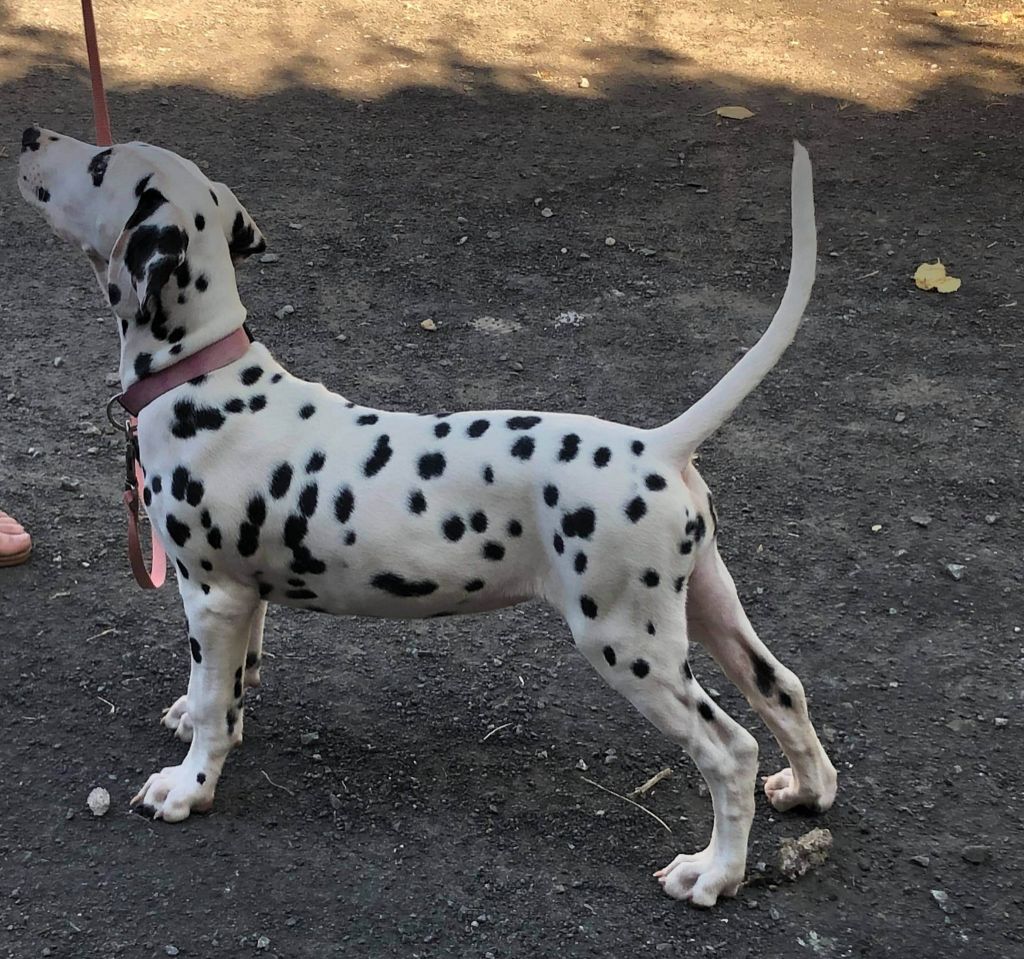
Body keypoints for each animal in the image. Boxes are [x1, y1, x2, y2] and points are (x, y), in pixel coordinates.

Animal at [18, 123, 839, 900]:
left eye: (101, 163)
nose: (27, 135)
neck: (205, 379)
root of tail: (659, 444)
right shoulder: (245, 597)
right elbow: (231, 686)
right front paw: (198, 722)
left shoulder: (211, 594)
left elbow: (213, 692)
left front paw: (189, 786)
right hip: (706, 603)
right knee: (781, 687)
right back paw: (807, 789)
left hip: (625, 639)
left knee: (728, 750)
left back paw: (714, 873)